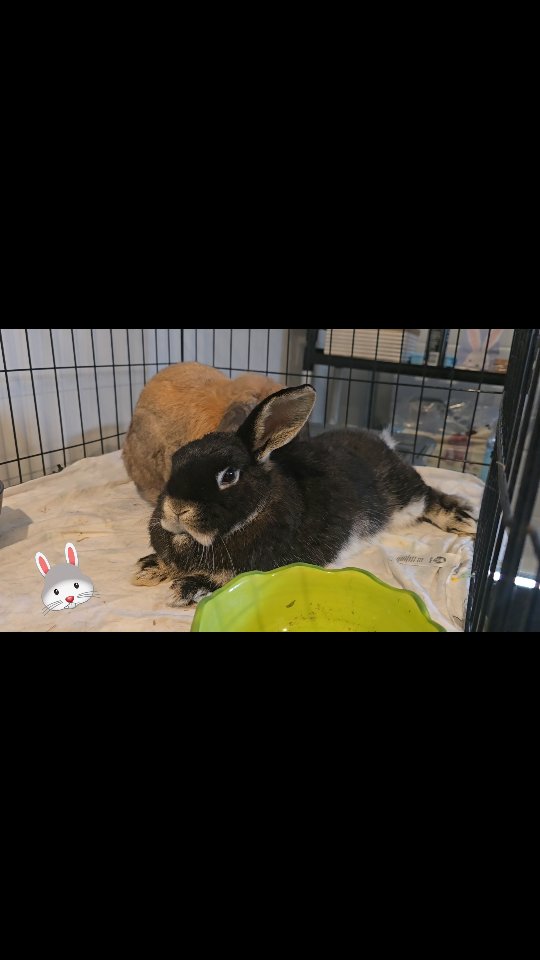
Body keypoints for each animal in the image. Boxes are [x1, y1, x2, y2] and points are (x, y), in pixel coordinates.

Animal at [132, 384, 477, 607]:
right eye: (176, 459)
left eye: (229, 476)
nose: (177, 509)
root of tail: (383, 444)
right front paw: (147, 568)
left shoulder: (268, 567)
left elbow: (223, 579)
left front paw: (183, 588)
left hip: (405, 498)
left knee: (429, 495)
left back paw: (462, 520)